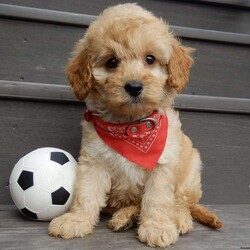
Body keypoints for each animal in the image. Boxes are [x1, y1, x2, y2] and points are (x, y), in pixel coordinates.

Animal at [48, 3, 223, 248]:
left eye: (150, 59)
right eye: (111, 62)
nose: (133, 86)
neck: (131, 126)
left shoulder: (163, 164)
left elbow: (157, 199)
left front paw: (157, 227)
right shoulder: (94, 160)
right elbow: (86, 192)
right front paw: (76, 220)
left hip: (190, 172)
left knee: (182, 204)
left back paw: (177, 218)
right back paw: (124, 217)